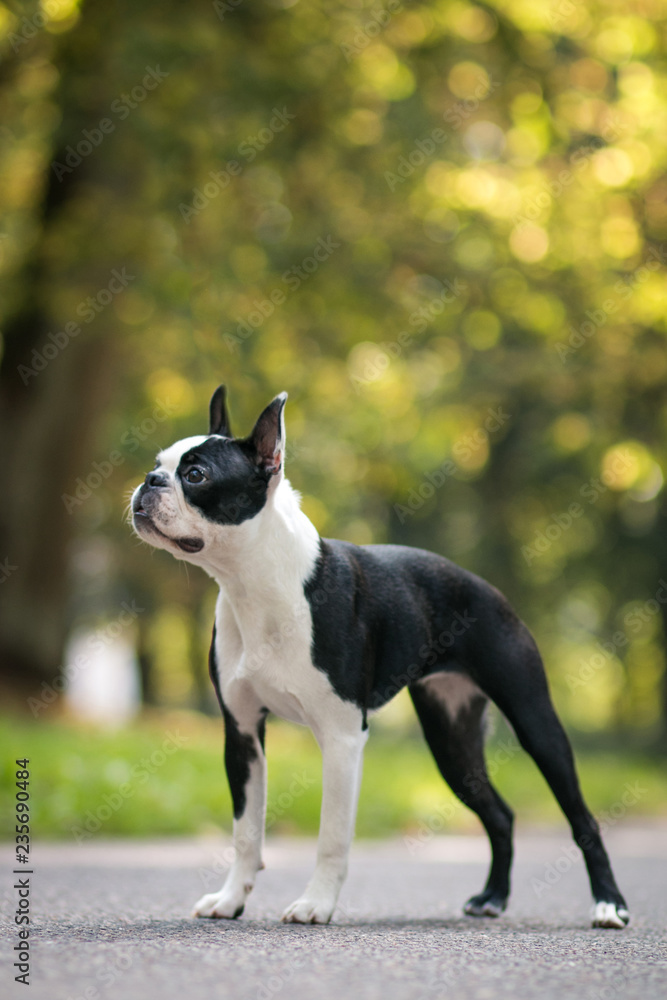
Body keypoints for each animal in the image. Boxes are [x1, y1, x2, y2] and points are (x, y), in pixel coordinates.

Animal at [130, 384, 632, 928]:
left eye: (195, 475)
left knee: (582, 818)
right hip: (451, 741)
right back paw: (492, 897)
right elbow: (246, 831)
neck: (253, 584)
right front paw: (230, 900)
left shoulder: (342, 736)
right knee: (500, 814)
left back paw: (609, 904)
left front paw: (315, 904)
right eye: (156, 464)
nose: (148, 481)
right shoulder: (241, 733)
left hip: (535, 722)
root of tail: (485, 587)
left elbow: (332, 837)